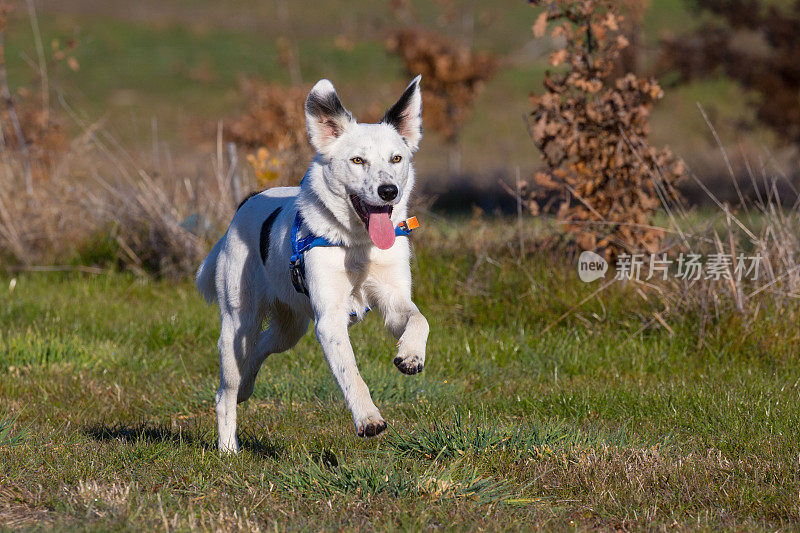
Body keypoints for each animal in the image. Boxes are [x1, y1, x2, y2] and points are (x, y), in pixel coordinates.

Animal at [196, 77, 428, 450]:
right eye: (358, 160)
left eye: (397, 158)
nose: (389, 190)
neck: (356, 243)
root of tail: (245, 202)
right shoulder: (329, 321)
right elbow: (351, 373)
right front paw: (369, 418)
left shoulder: (394, 300)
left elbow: (419, 319)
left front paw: (411, 355)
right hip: (237, 325)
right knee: (225, 393)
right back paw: (228, 448)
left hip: (290, 329)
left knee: (261, 348)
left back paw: (247, 386)